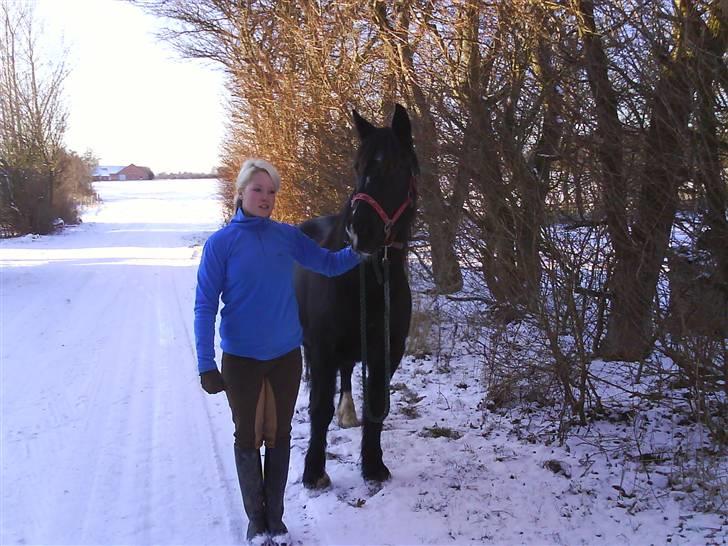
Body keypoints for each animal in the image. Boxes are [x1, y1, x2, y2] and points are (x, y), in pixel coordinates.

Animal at [294, 104, 419, 488]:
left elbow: (375, 403)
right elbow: (319, 408)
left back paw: (347, 413)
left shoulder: (387, 351)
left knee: (348, 371)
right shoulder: (322, 348)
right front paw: (314, 471)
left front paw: (373, 465)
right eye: (357, 167)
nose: (358, 230)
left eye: (394, 166)